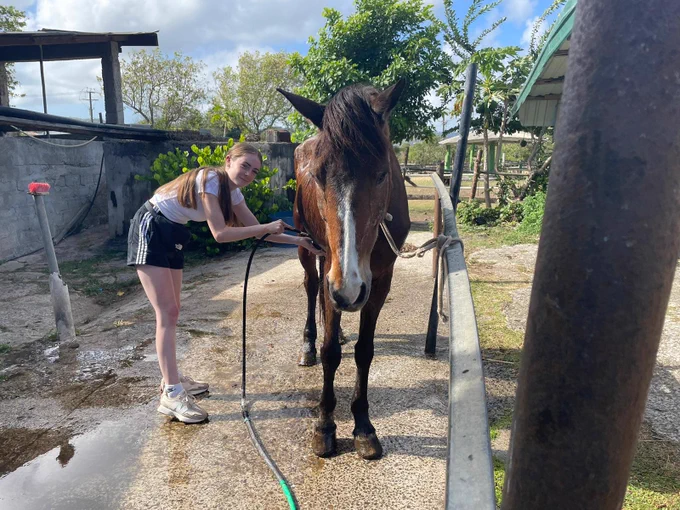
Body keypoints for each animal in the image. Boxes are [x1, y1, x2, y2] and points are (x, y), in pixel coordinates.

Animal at [277, 80, 410, 459]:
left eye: (382, 173)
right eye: (318, 175)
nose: (348, 291)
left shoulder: (380, 280)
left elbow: (365, 351)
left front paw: (363, 426)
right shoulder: (331, 275)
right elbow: (330, 355)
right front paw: (325, 425)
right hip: (308, 250)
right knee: (311, 290)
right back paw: (308, 345)